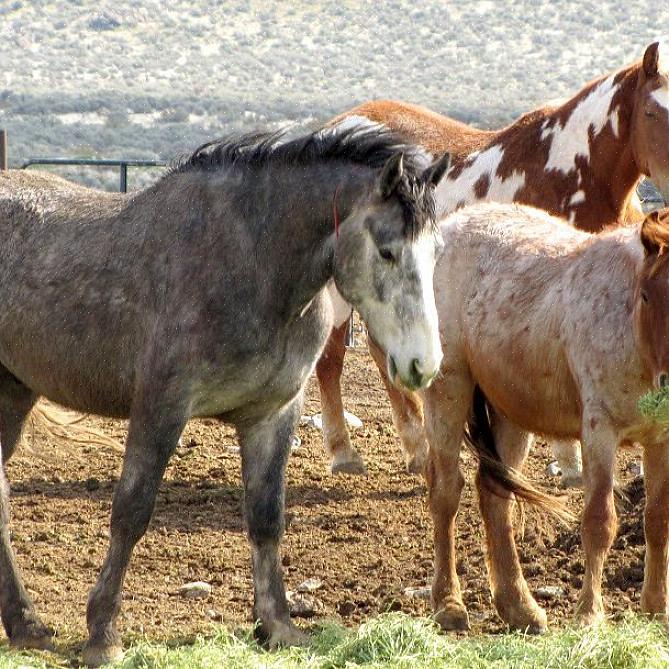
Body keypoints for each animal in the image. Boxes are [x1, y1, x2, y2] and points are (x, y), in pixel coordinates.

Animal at [0, 125, 452, 664]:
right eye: (386, 250)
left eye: (437, 251)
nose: (424, 364)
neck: (251, 264)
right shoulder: (160, 408)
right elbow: (131, 512)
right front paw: (102, 635)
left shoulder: (273, 415)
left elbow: (266, 516)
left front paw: (277, 625)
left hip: (14, 391)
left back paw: (25, 625)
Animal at [316, 39, 668, 478]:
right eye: (652, 111)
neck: (567, 170)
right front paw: (568, 462)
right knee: (329, 360)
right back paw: (344, 452)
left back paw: (416, 449)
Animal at [426, 206, 668, 636]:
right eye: (646, 294)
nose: (668, 383)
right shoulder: (599, 431)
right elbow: (599, 522)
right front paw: (588, 615)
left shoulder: (661, 438)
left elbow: (657, 520)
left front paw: (657, 610)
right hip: (448, 389)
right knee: (446, 493)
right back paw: (449, 605)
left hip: (510, 412)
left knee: (494, 496)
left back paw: (520, 608)